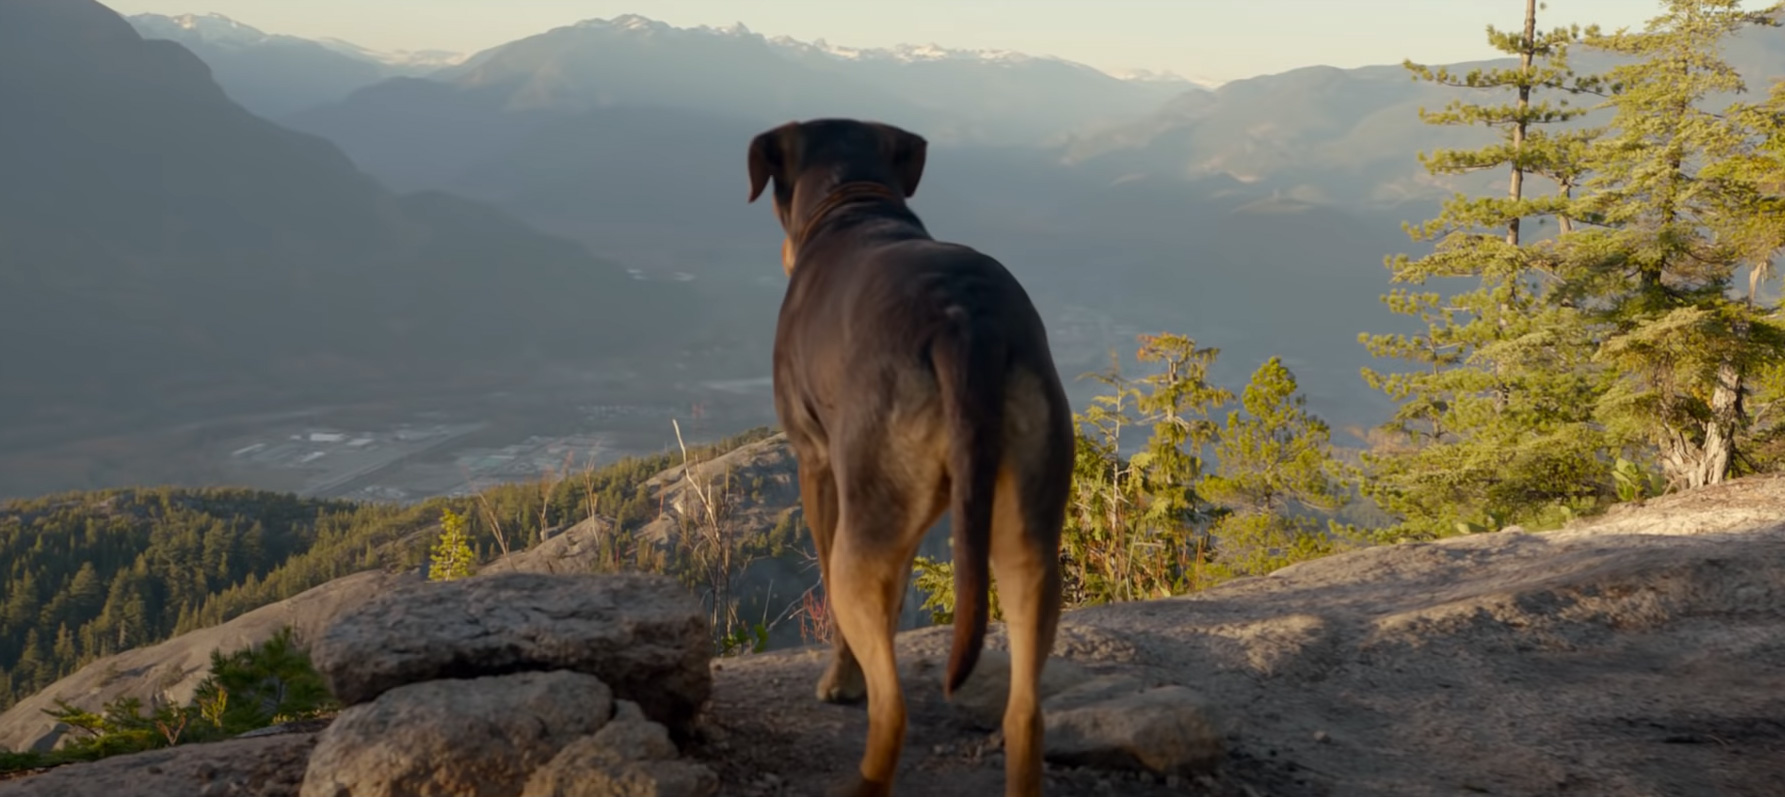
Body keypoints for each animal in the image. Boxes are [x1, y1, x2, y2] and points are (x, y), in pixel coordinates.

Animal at [742, 119, 1063, 797]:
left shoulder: (819, 467)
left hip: (865, 526)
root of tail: (965, 327)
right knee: (1025, 711)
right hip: (1028, 525)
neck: (854, 202)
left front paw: (843, 680)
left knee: (892, 712)